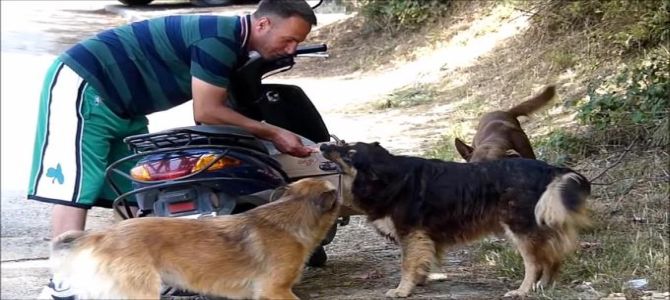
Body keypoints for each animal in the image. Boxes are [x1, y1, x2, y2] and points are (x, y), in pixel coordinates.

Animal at [322, 142, 592, 298]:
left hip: (520, 228)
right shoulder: (422, 236)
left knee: (534, 262)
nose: (323, 145)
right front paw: (418, 282)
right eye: (343, 143)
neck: (388, 177)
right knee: (551, 256)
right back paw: (544, 286)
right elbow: (420, 262)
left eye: (350, 152)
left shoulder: (411, 232)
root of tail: (550, 169)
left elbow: (407, 265)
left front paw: (402, 290)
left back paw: (522, 290)